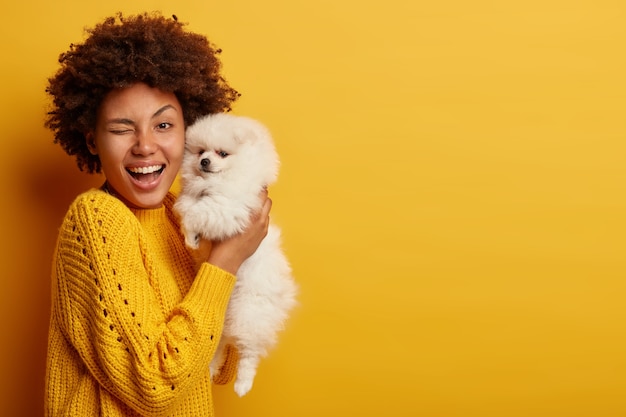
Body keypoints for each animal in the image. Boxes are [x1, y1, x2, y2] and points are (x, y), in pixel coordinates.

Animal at [172, 113, 296, 396]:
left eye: (222, 153)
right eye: (200, 151)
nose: (204, 161)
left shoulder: (228, 208)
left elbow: (193, 211)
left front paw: (189, 228)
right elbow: (188, 206)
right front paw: (192, 239)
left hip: (250, 311)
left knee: (249, 351)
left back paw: (243, 383)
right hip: (225, 321)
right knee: (220, 345)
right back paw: (210, 370)